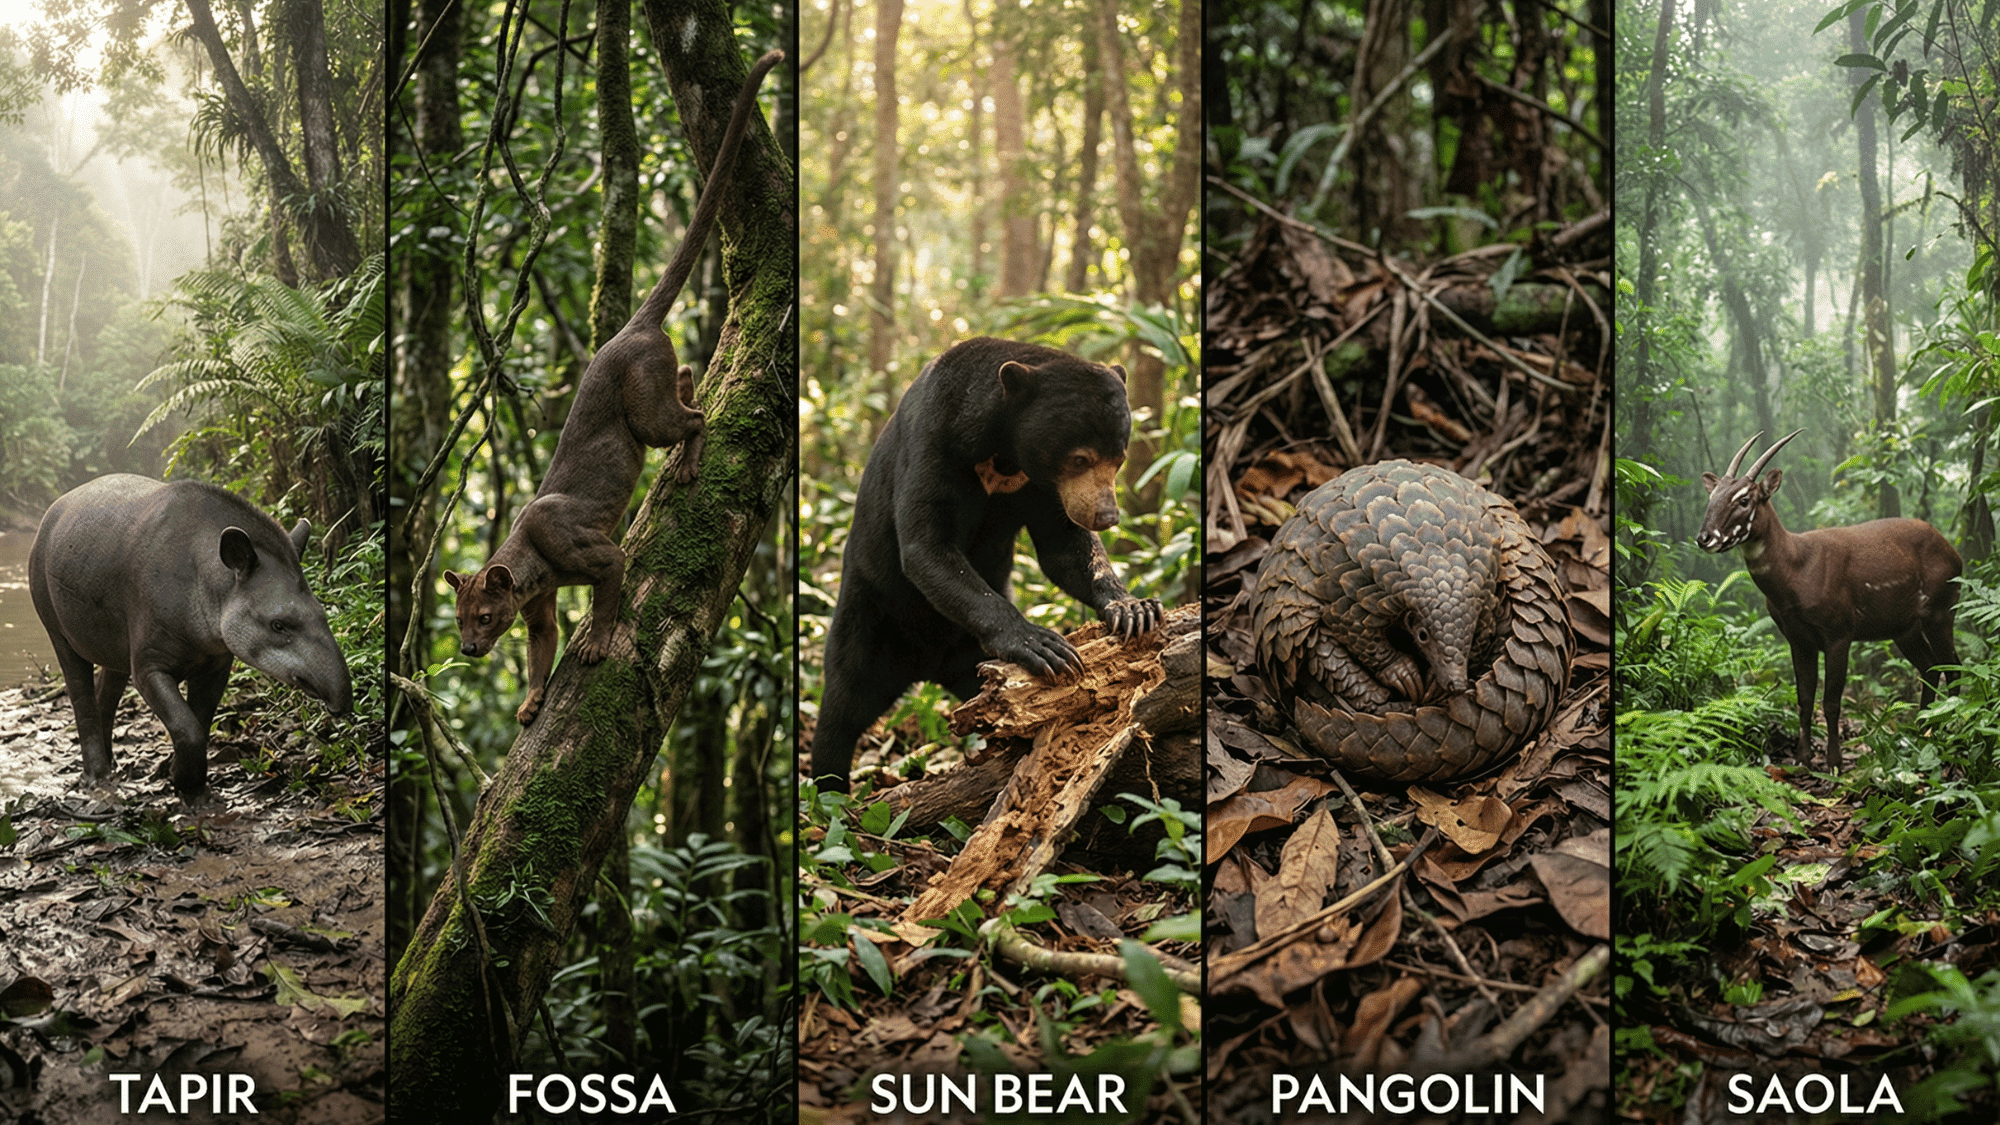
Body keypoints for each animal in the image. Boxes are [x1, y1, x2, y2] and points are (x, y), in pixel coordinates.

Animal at [809, 336, 1164, 792]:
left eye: (1118, 458)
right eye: (1080, 459)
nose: (1106, 516)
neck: (1003, 454)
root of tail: (925, 667)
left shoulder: (1041, 486)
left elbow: (1064, 548)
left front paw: (1133, 610)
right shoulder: (934, 442)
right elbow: (927, 544)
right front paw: (1040, 643)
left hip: (969, 656)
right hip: (868, 613)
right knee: (842, 705)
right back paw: (829, 789)